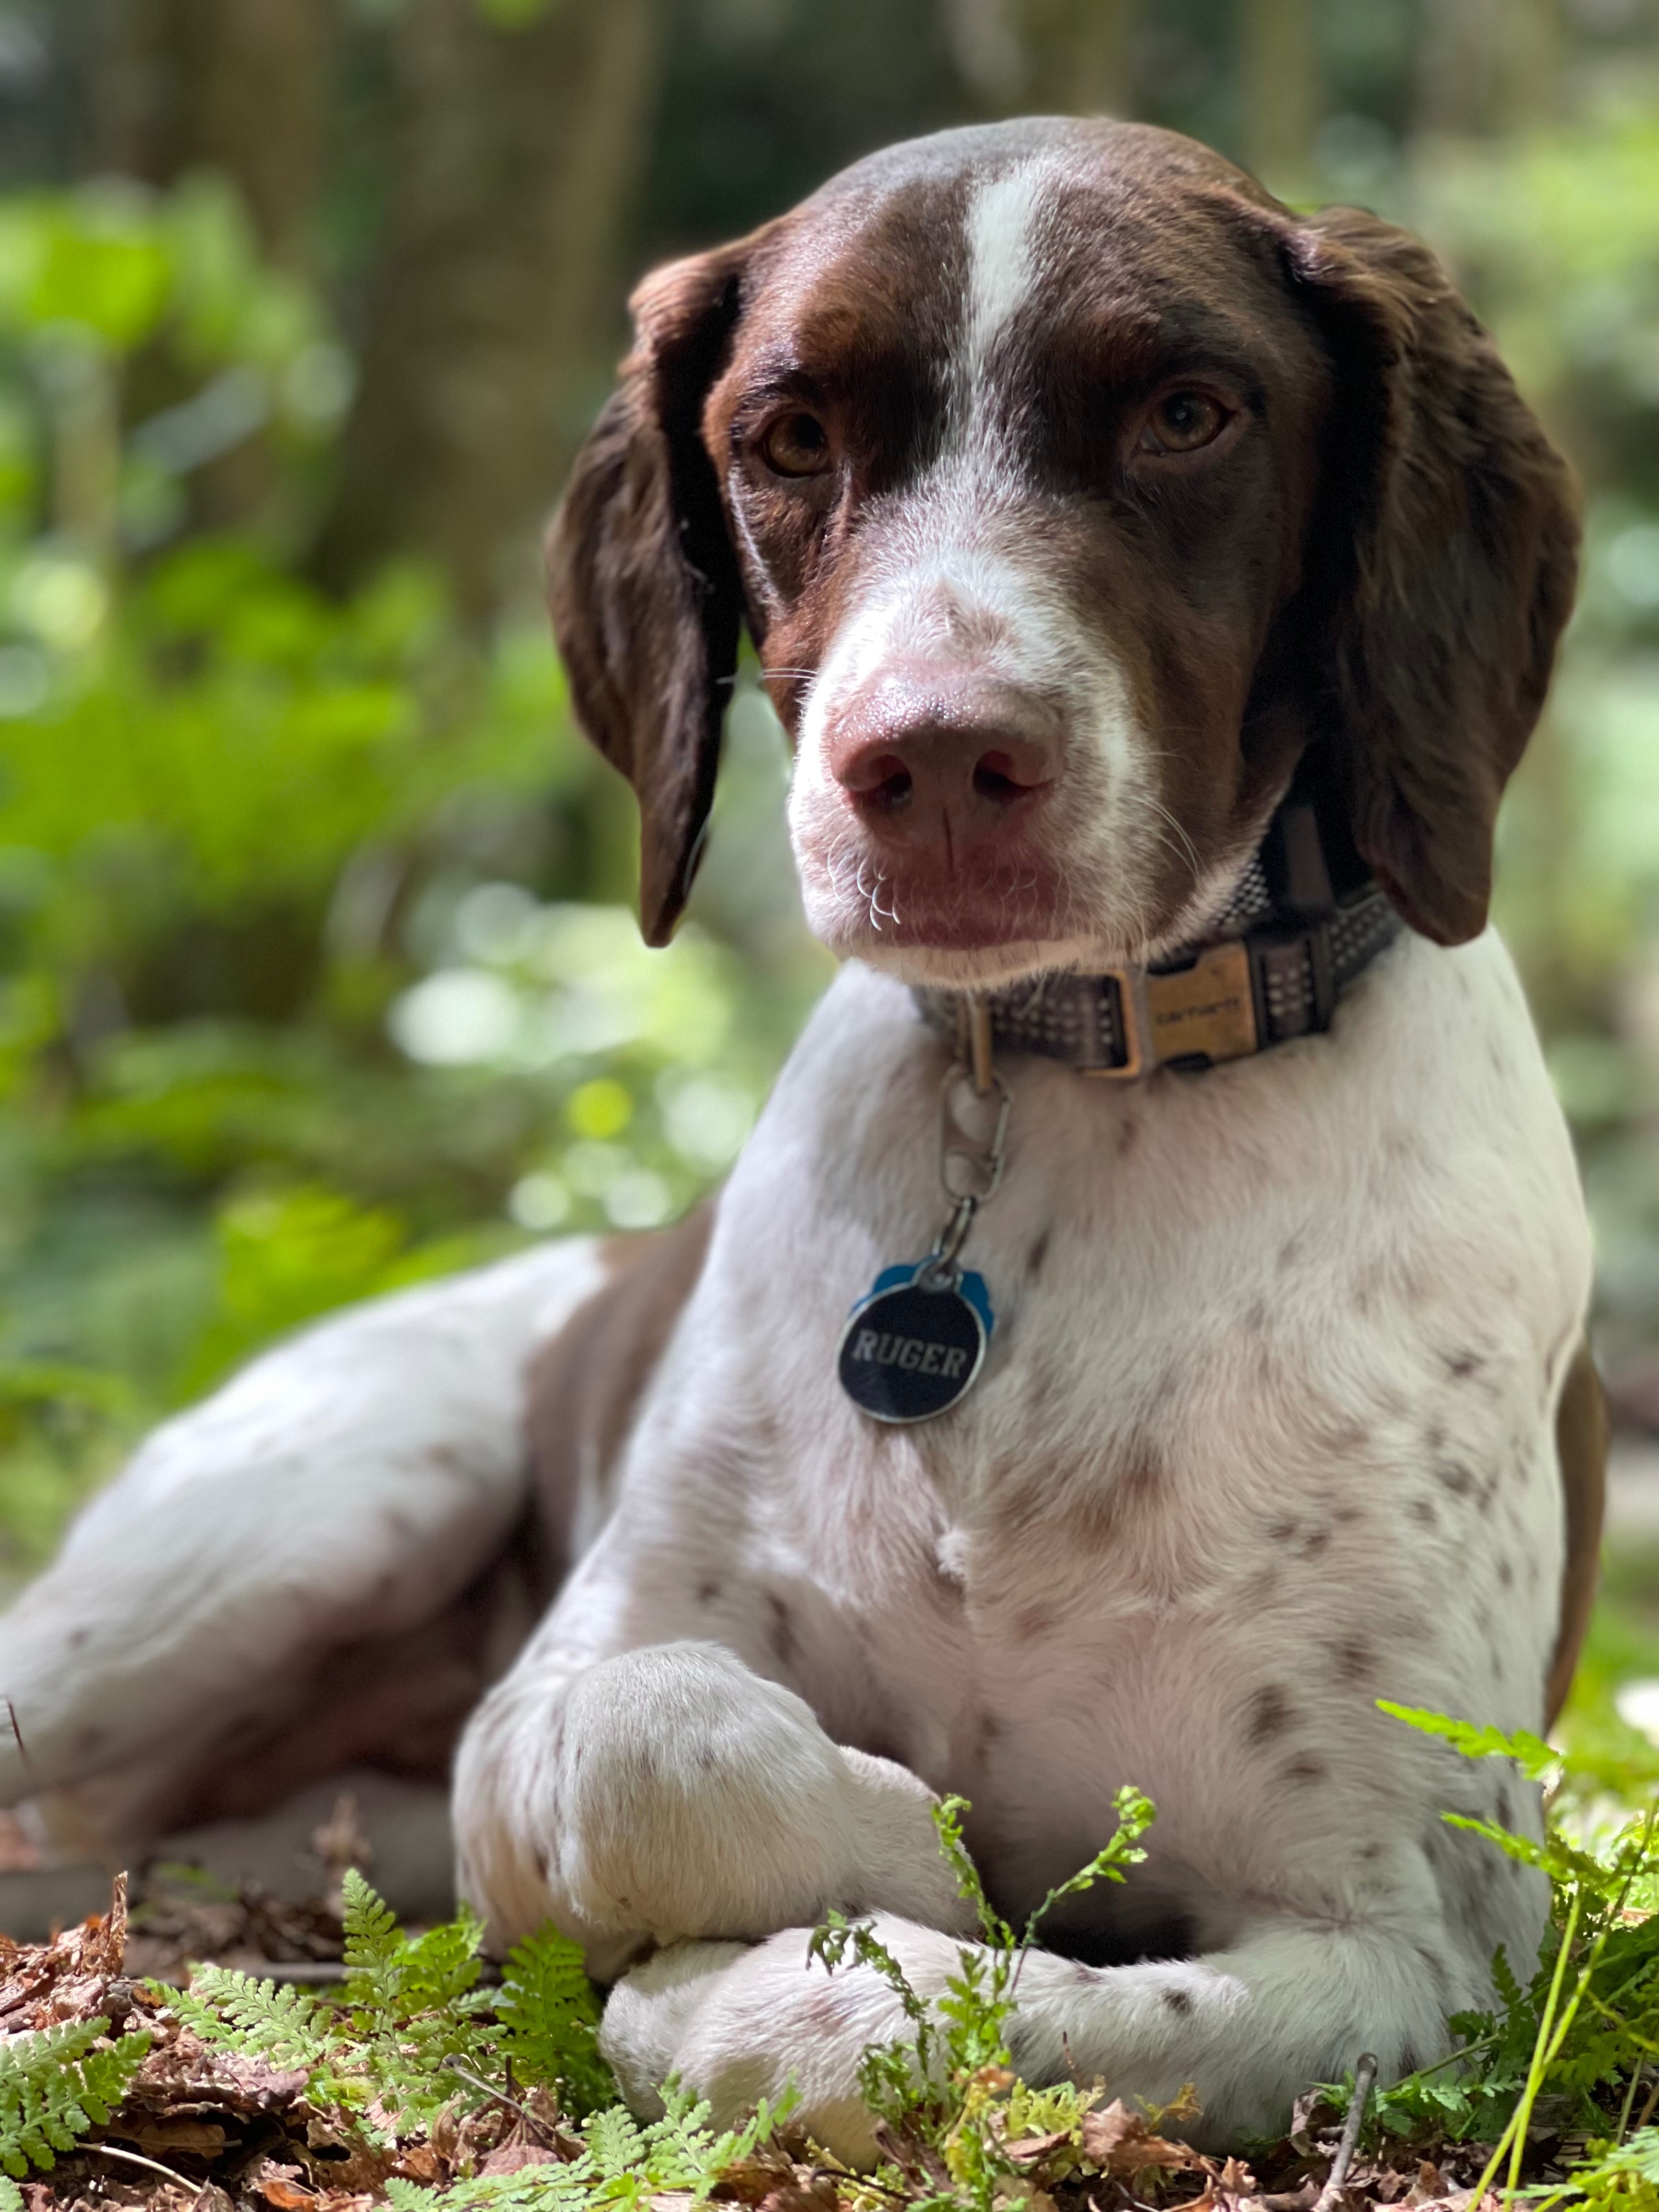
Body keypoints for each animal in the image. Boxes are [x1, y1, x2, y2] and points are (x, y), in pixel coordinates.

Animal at [0, 116, 1605, 2160]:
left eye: (1188, 413)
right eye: (786, 437)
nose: (932, 759)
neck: (1064, 1103)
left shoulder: (1415, 1946)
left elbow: (1018, 2014)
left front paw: (781, 1978)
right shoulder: (557, 1691)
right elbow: (654, 1738)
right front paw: (915, 1859)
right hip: (272, 1534)